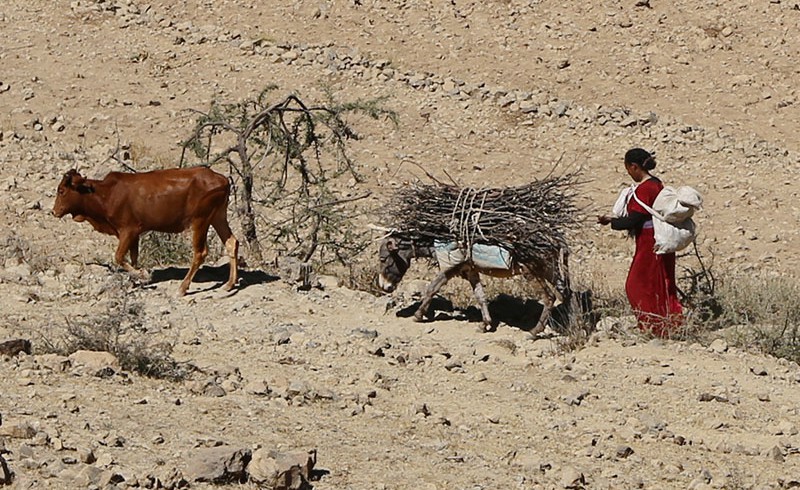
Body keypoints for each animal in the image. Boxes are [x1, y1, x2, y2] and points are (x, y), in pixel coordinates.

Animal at [54, 167, 238, 296]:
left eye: (62, 191)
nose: (54, 211)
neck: (107, 193)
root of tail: (222, 179)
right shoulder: (135, 234)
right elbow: (133, 257)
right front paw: (135, 280)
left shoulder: (127, 230)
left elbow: (119, 257)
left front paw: (142, 274)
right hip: (218, 216)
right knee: (232, 242)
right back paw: (229, 284)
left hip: (201, 220)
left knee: (200, 252)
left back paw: (183, 288)